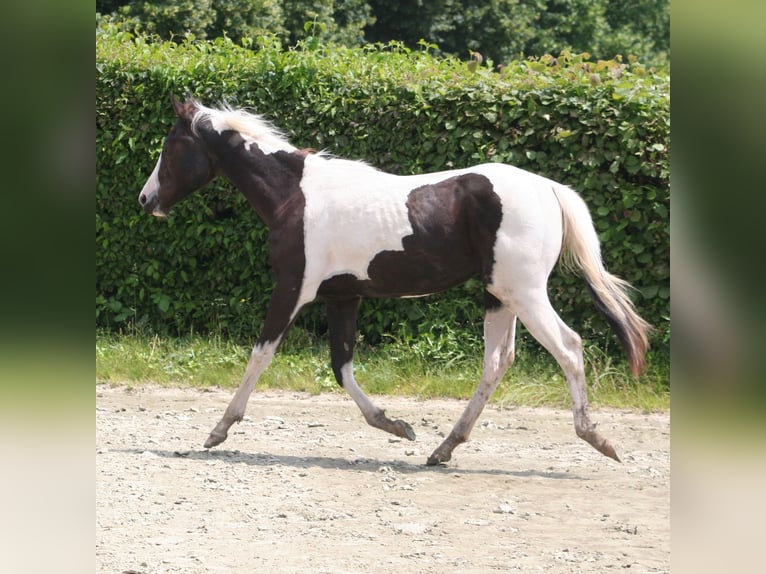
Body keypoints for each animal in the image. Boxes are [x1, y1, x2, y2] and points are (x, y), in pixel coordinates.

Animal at [140, 92, 656, 466]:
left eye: (170, 147)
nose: (147, 200)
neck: (296, 196)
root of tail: (548, 188)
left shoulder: (293, 289)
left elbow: (261, 353)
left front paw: (219, 429)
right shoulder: (342, 297)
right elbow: (341, 366)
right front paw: (396, 426)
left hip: (524, 293)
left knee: (568, 347)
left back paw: (598, 439)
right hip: (500, 295)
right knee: (497, 361)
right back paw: (443, 448)